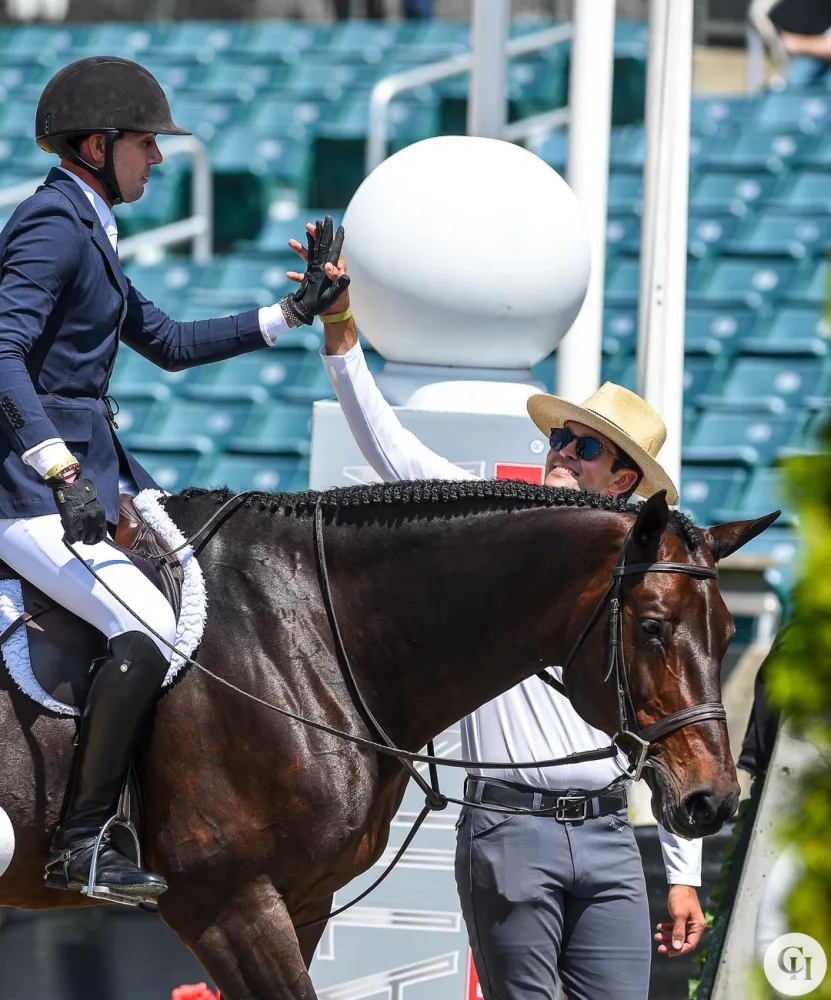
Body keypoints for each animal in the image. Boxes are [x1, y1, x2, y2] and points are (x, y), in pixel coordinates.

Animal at [0, 480, 780, 996]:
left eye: (731, 633)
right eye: (652, 627)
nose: (711, 801)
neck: (300, 633)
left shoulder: (300, 902)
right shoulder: (227, 903)